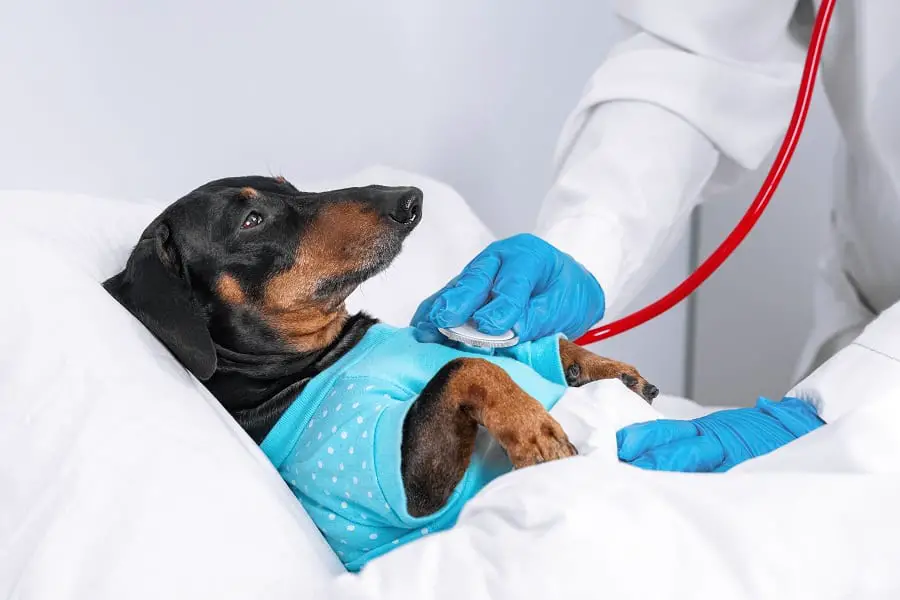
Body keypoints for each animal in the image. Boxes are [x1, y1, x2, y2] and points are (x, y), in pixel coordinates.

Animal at [105, 173, 656, 520]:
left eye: (290, 185)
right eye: (252, 220)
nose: (410, 198)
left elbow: (527, 347)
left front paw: (603, 367)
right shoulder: (404, 487)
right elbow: (464, 366)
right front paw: (534, 430)